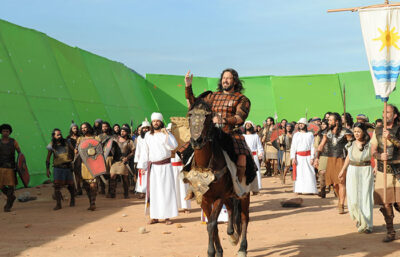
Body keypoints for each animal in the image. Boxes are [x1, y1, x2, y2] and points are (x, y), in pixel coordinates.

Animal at [188, 99, 250, 256]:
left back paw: (242, 248)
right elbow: (212, 224)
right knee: (231, 209)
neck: (204, 166)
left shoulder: (218, 198)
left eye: (208, 118)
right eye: (190, 116)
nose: (196, 141)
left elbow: (211, 224)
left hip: (243, 194)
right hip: (228, 195)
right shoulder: (204, 199)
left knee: (245, 218)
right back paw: (232, 235)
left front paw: (211, 251)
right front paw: (219, 251)